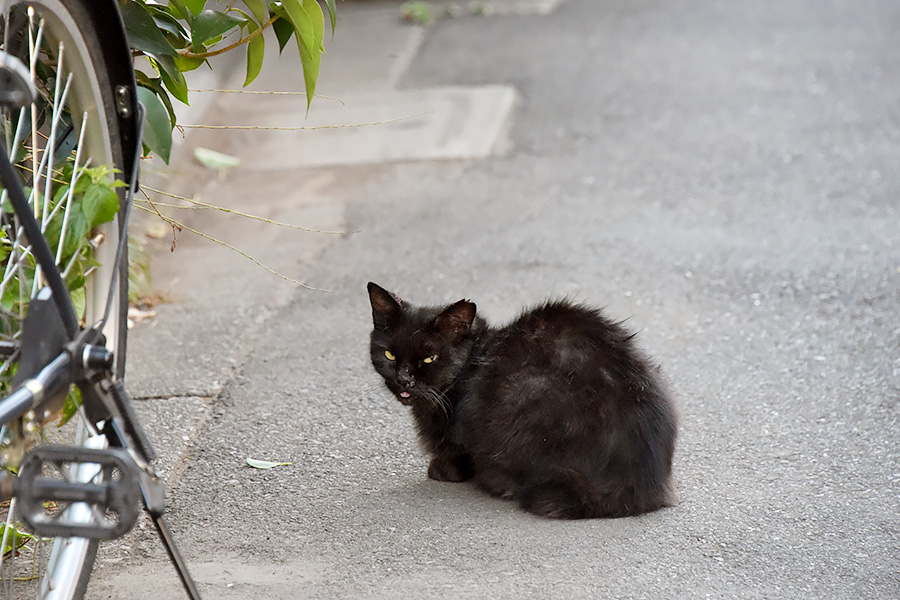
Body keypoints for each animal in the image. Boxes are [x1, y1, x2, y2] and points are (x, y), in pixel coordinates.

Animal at [366, 284, 676, 516]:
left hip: (526, 390)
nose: (404, 379)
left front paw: (444, 467)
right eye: (389, 354)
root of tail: (636, 484)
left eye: (430, 357)